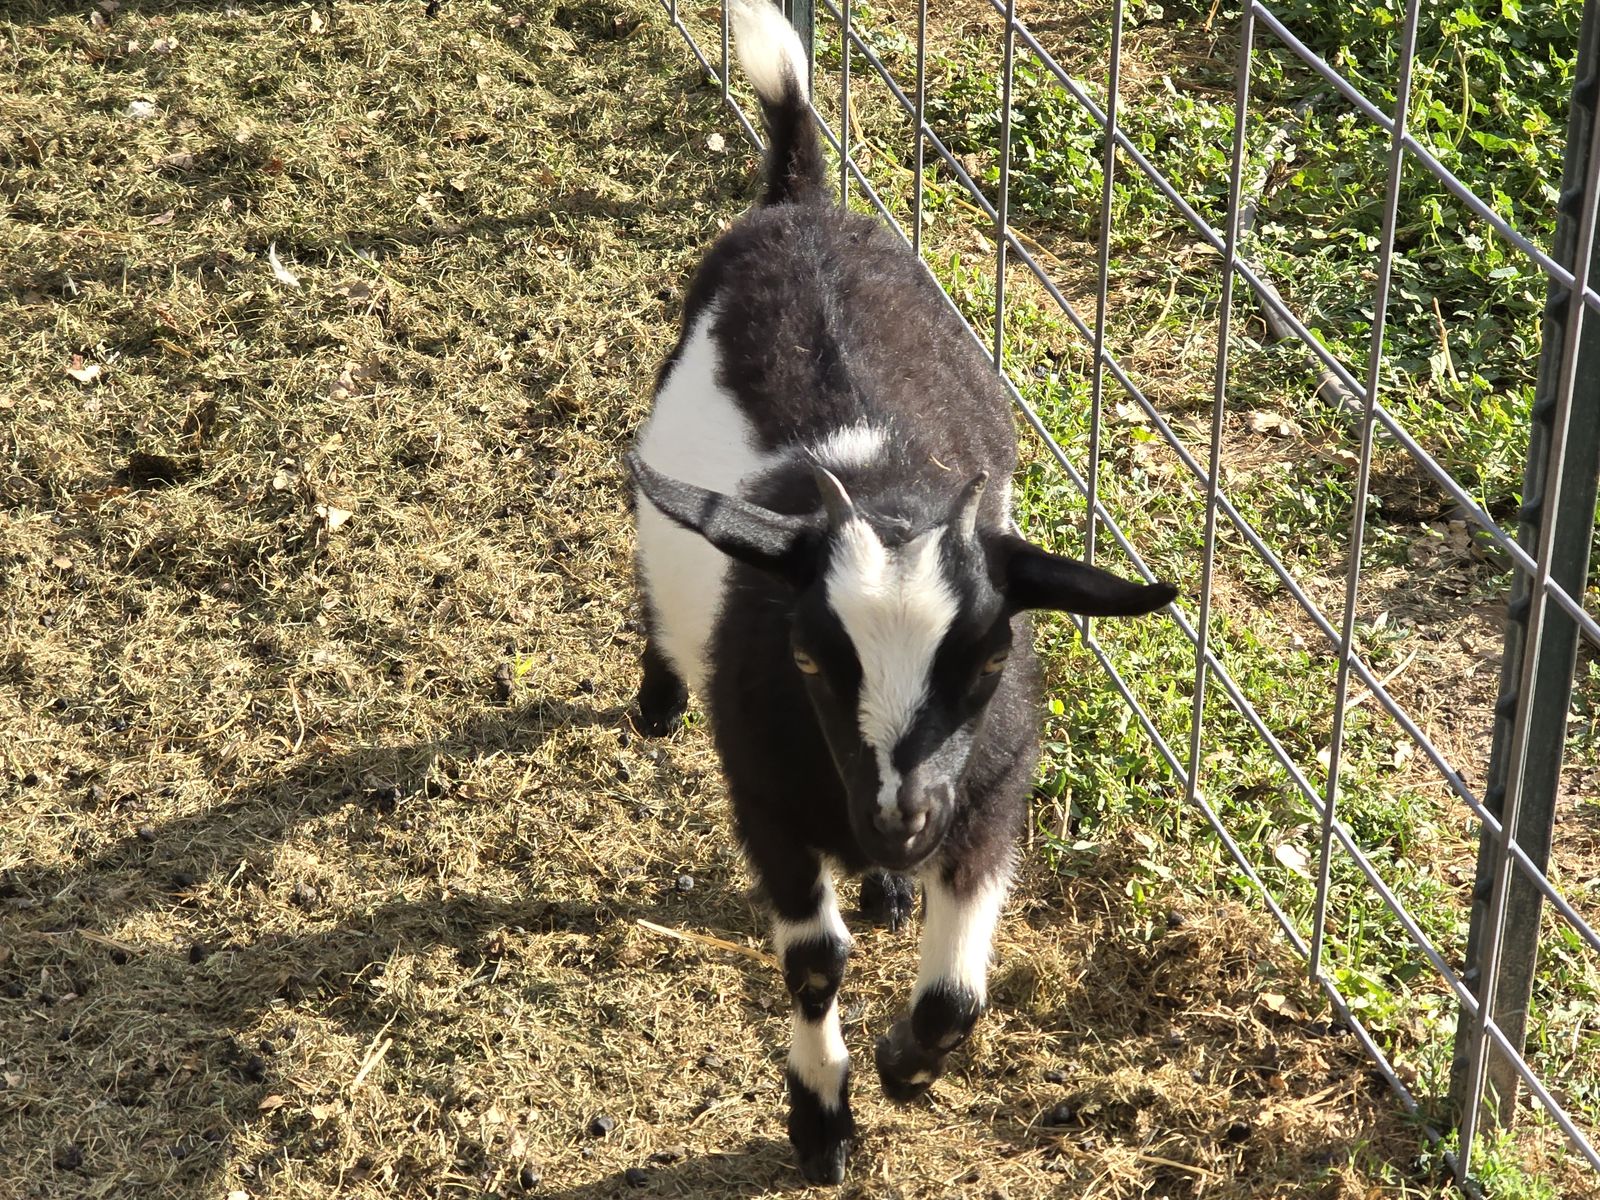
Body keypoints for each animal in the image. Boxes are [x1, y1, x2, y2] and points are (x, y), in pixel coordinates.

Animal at [626, 0, 1177, 1182]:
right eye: (805, 657)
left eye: (991, 657)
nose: (900, 815)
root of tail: (802, 201)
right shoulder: (763, 798)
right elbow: (814, 963)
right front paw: (820, 1117)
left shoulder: (991, 795)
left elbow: (959, 995)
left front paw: (902, 1064)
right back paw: (657, 696)